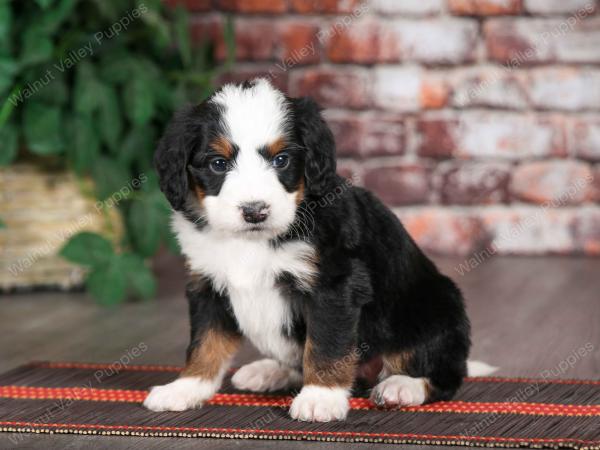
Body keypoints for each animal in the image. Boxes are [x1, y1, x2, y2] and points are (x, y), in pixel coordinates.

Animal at [144, 78, 474, 422]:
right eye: (218, 164)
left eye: (281, 160)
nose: (255, 211)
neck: (251, 241)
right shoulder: (207, 284)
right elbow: (204, 342)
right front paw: (186, 387)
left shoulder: (334, 284)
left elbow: (325, 344)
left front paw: (321, 398)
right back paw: (269, 371)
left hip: (437, 307)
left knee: (444, 375)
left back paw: (402, 387)